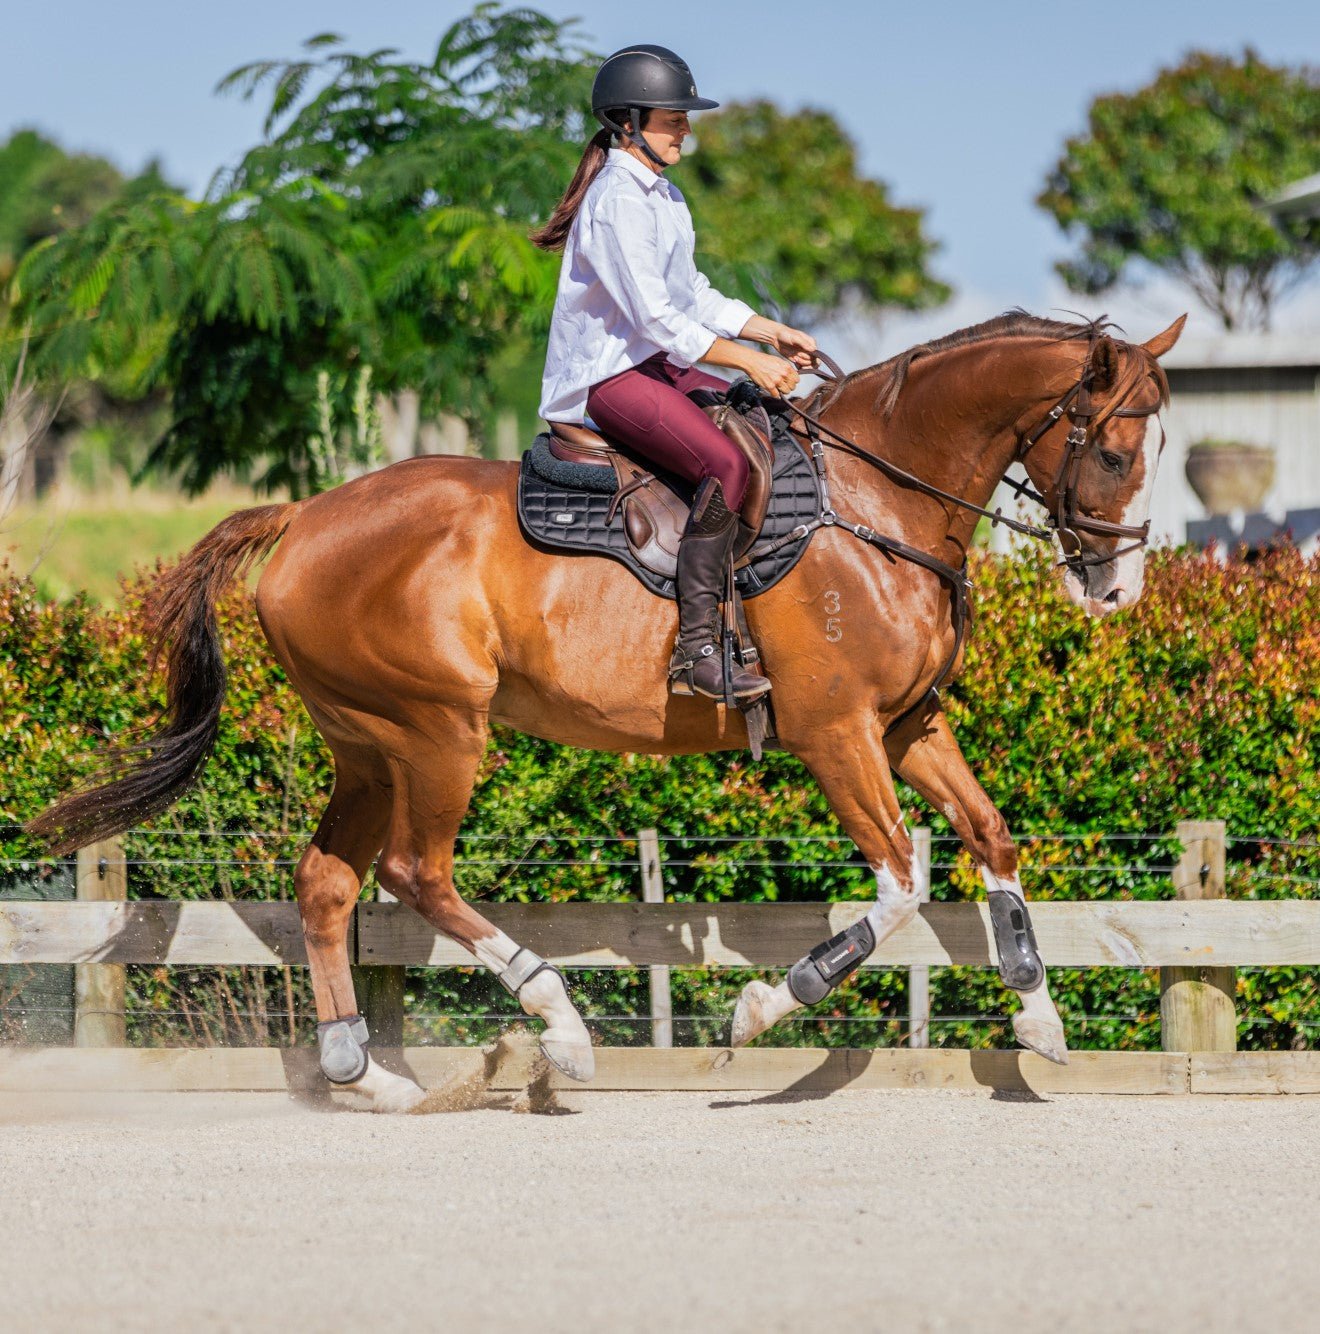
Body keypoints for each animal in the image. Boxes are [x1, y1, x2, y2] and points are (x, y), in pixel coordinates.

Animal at [31, 309, 1189, 1104]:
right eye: (1114, 451)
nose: (1119, 590)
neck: (876, 506)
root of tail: (308, 512)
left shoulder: (909, 726)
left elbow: (991, 836)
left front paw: (1038, 1016)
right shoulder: (837, 733)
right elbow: (902, 882)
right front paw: (765, 1006)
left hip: (367, 745)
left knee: (326, 884)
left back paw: (368, 1073)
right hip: (439, 729)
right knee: (415, 871)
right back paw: (562, 1028)